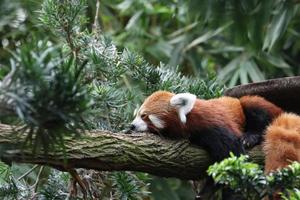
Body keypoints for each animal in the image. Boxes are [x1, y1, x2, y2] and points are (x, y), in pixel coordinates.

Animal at [130, 91, 282, 162]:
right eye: (136, 114)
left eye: (144, 115)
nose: (132, 126)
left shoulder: (215, 125)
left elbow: (233, 152)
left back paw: (250, 136)